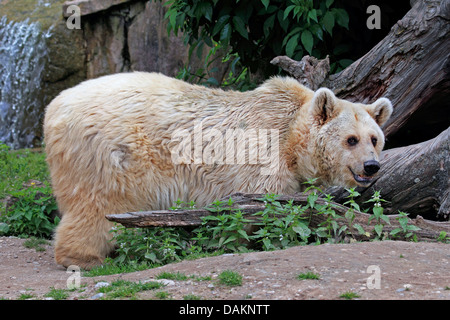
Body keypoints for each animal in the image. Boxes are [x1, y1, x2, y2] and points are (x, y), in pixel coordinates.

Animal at [44, 71, 392, 268]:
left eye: (374, 138)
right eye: (351, 139)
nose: (371, 166)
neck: (291, 132)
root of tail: (54, 107)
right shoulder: (263, 157)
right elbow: (261, 207)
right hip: (110, 152)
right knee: (97, 203)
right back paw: (84, 258)